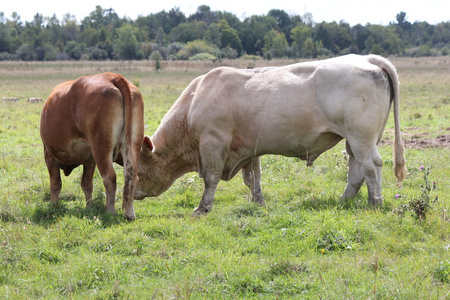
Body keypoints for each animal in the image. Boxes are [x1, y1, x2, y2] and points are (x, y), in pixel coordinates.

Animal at [40, 72, 143, 219]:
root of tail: (113, 76)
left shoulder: (49, 155)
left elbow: (55, 184)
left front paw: (53, 205)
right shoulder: (90, 159)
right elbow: (86, 184)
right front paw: (89, 206)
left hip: (101, 148)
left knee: (110, 177)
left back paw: (110, 211)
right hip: (133, 145)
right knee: (131, 175)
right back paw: (129, 213)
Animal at [135, 54, 406, 213]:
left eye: (138, 170)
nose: (134, 194)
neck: (195, 100)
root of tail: (367, 59)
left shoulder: (213, 143)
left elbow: (211, 179)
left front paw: (202, 208)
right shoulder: (248, 148)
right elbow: (253, 178)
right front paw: (258, 202)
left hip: (362, 138)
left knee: (371, 166)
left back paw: (375, 202)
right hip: (355, 141)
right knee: (356, 169)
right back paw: (344, 201)